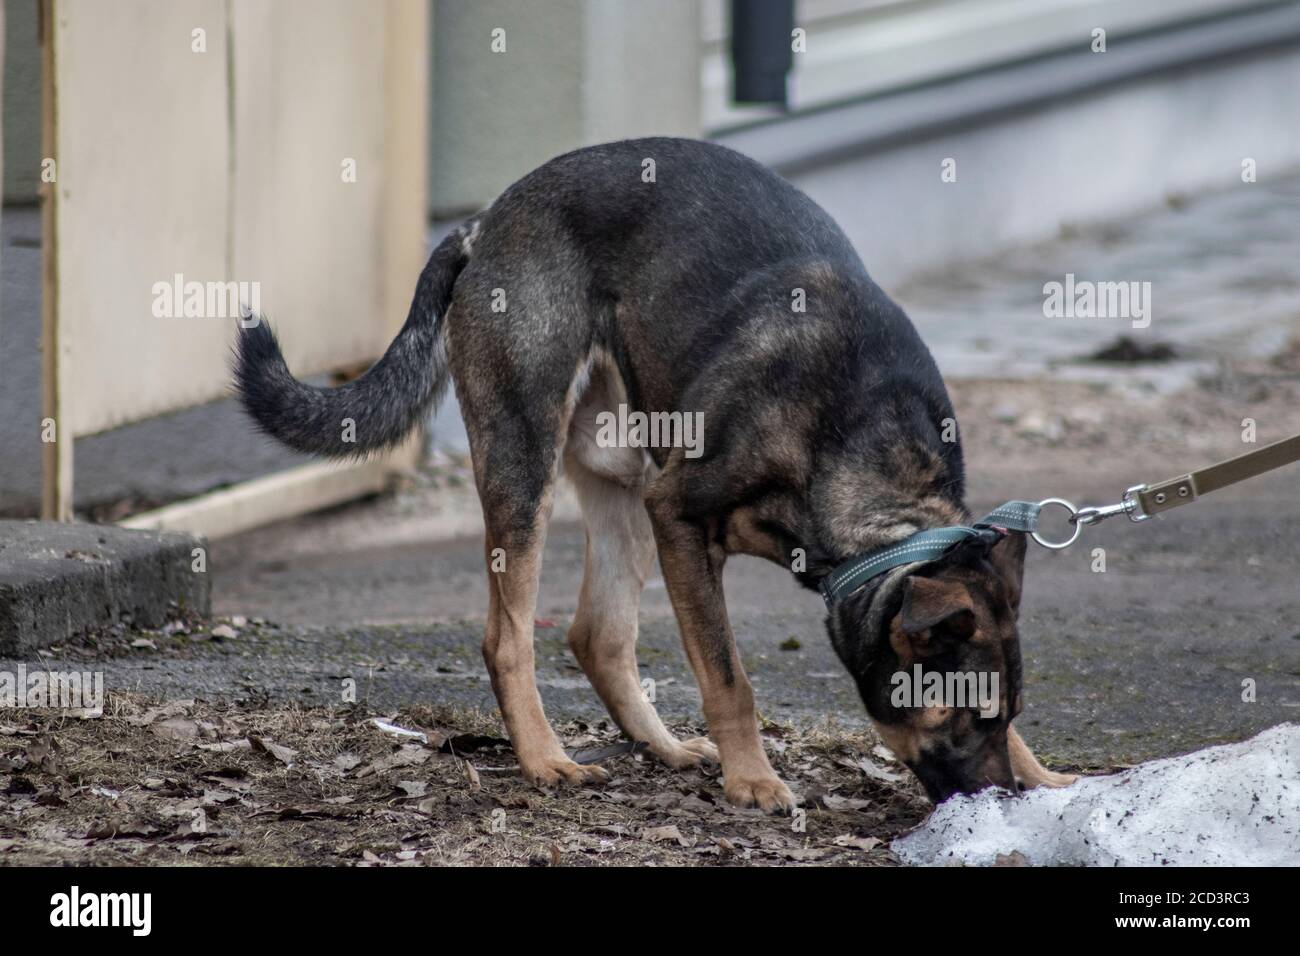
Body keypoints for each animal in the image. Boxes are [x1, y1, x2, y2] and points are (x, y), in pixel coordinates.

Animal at [233, 134, 1076, 811]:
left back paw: (662, 747)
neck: (869, 457)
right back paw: (545, 760)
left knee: (598, 634)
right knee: (510, 637)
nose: (1004, 799)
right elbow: (728, 677)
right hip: (526, 462)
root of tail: (488, 221)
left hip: (627, 481)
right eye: (961, 717)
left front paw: (1045, 776)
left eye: (1006, 715)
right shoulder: (682, 519)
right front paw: (752, 781)